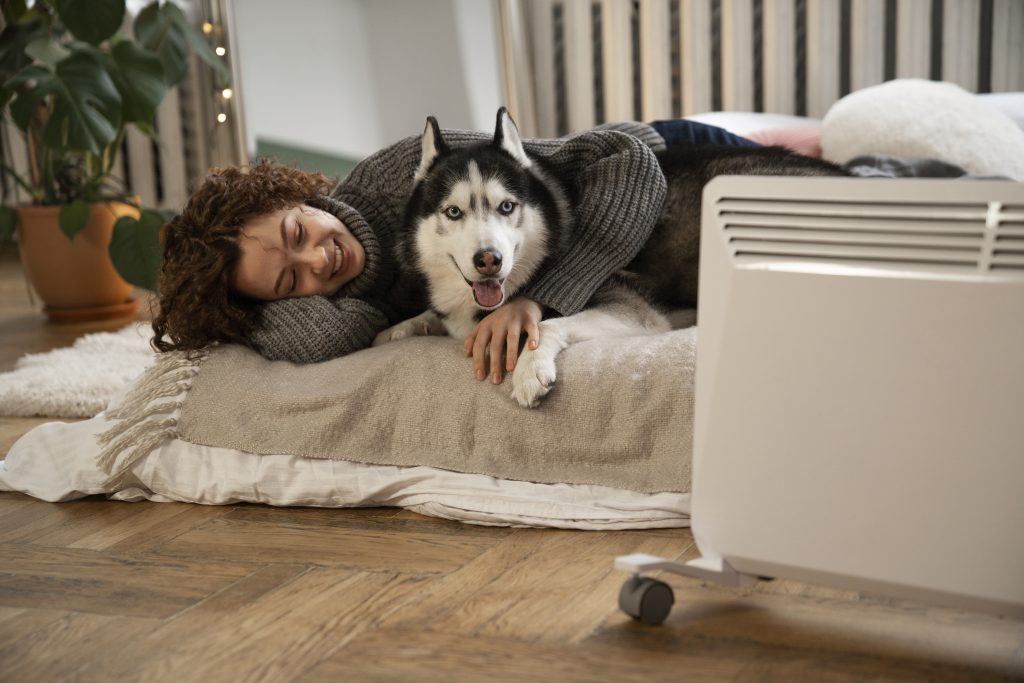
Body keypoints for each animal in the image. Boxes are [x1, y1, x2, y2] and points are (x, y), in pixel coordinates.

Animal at [380, 107, 843, 405]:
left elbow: (547, 324)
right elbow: (431, 318)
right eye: (453, 212)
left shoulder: (634, 310)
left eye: (507, 206)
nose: (488, 259)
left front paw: (530, 369)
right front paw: (398, 328)